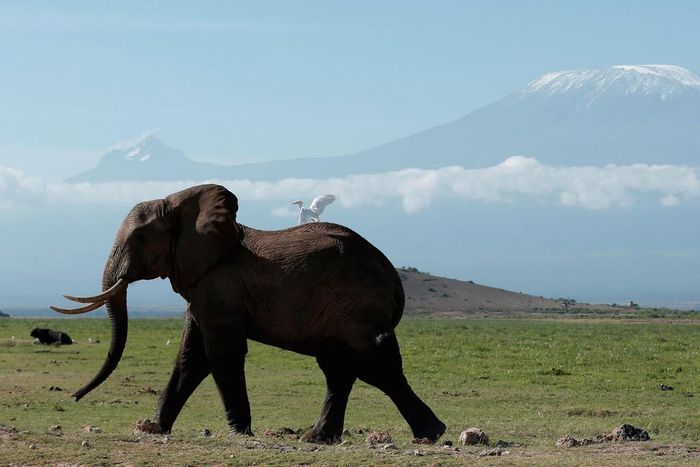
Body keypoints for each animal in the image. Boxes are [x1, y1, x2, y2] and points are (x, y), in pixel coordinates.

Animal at [52, 184, 445, 444]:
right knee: (344, 367)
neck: (181, 205)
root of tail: (394, 278)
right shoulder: (203, 288)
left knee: (371, 363)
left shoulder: (219, 287)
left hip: (355, 305)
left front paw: (240, 432)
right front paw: (153, 429)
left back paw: (429, 434)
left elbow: (219, 354)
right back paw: (318, 437)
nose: (74, 398)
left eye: (138, 239)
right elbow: (190, 357)